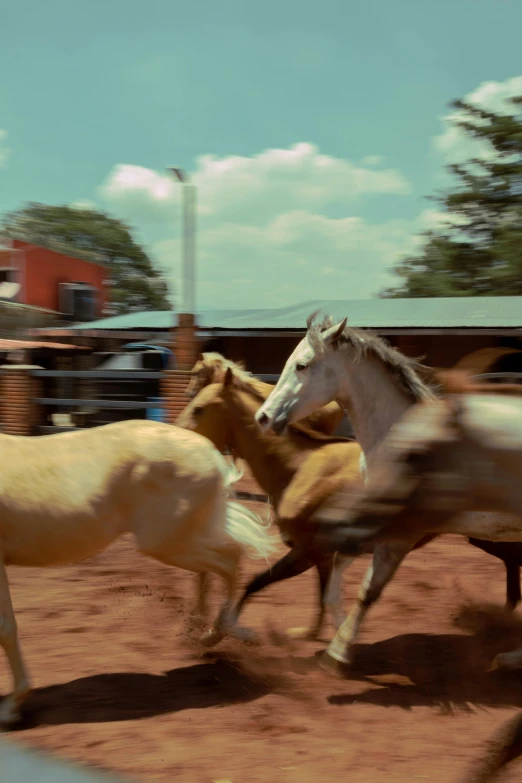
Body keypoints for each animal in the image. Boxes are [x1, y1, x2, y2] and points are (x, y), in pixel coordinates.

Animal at [0, 422, 276, 728]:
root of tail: (213, 456)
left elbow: (5, 628)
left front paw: (10, 709)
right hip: (179, 540)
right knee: (216, 563)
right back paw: (203, 632)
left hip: (165, 543)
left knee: (229, 558)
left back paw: (222, 632)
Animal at [256, 312, 522, 668]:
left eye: (302, 364)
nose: (263, 417)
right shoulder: (366, 520)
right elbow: (341, 564)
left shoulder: (401, 532)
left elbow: (370, 588)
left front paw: (338, 653)